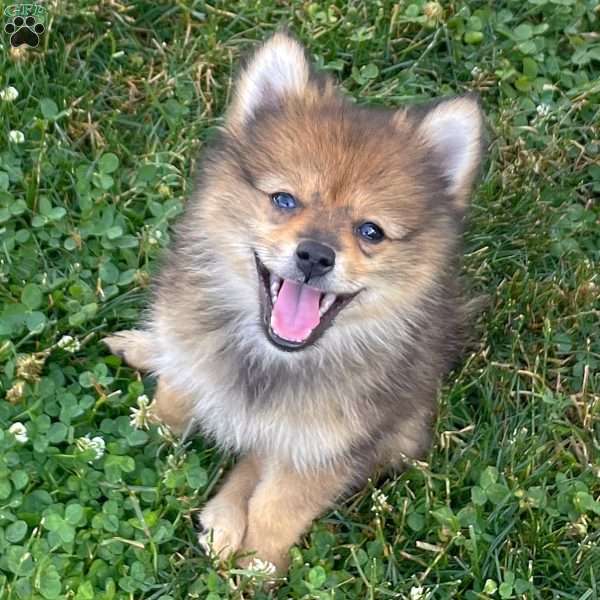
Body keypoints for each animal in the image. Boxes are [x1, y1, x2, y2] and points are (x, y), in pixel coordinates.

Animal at [104, 29, 482, 572]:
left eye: (371, 231)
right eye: (284, 200)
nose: (316, 255)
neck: (270, 360)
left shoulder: (327, 449)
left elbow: (277, 508)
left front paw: (258, 565)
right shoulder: (195, 351)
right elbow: (175, 400)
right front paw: (154, 426)